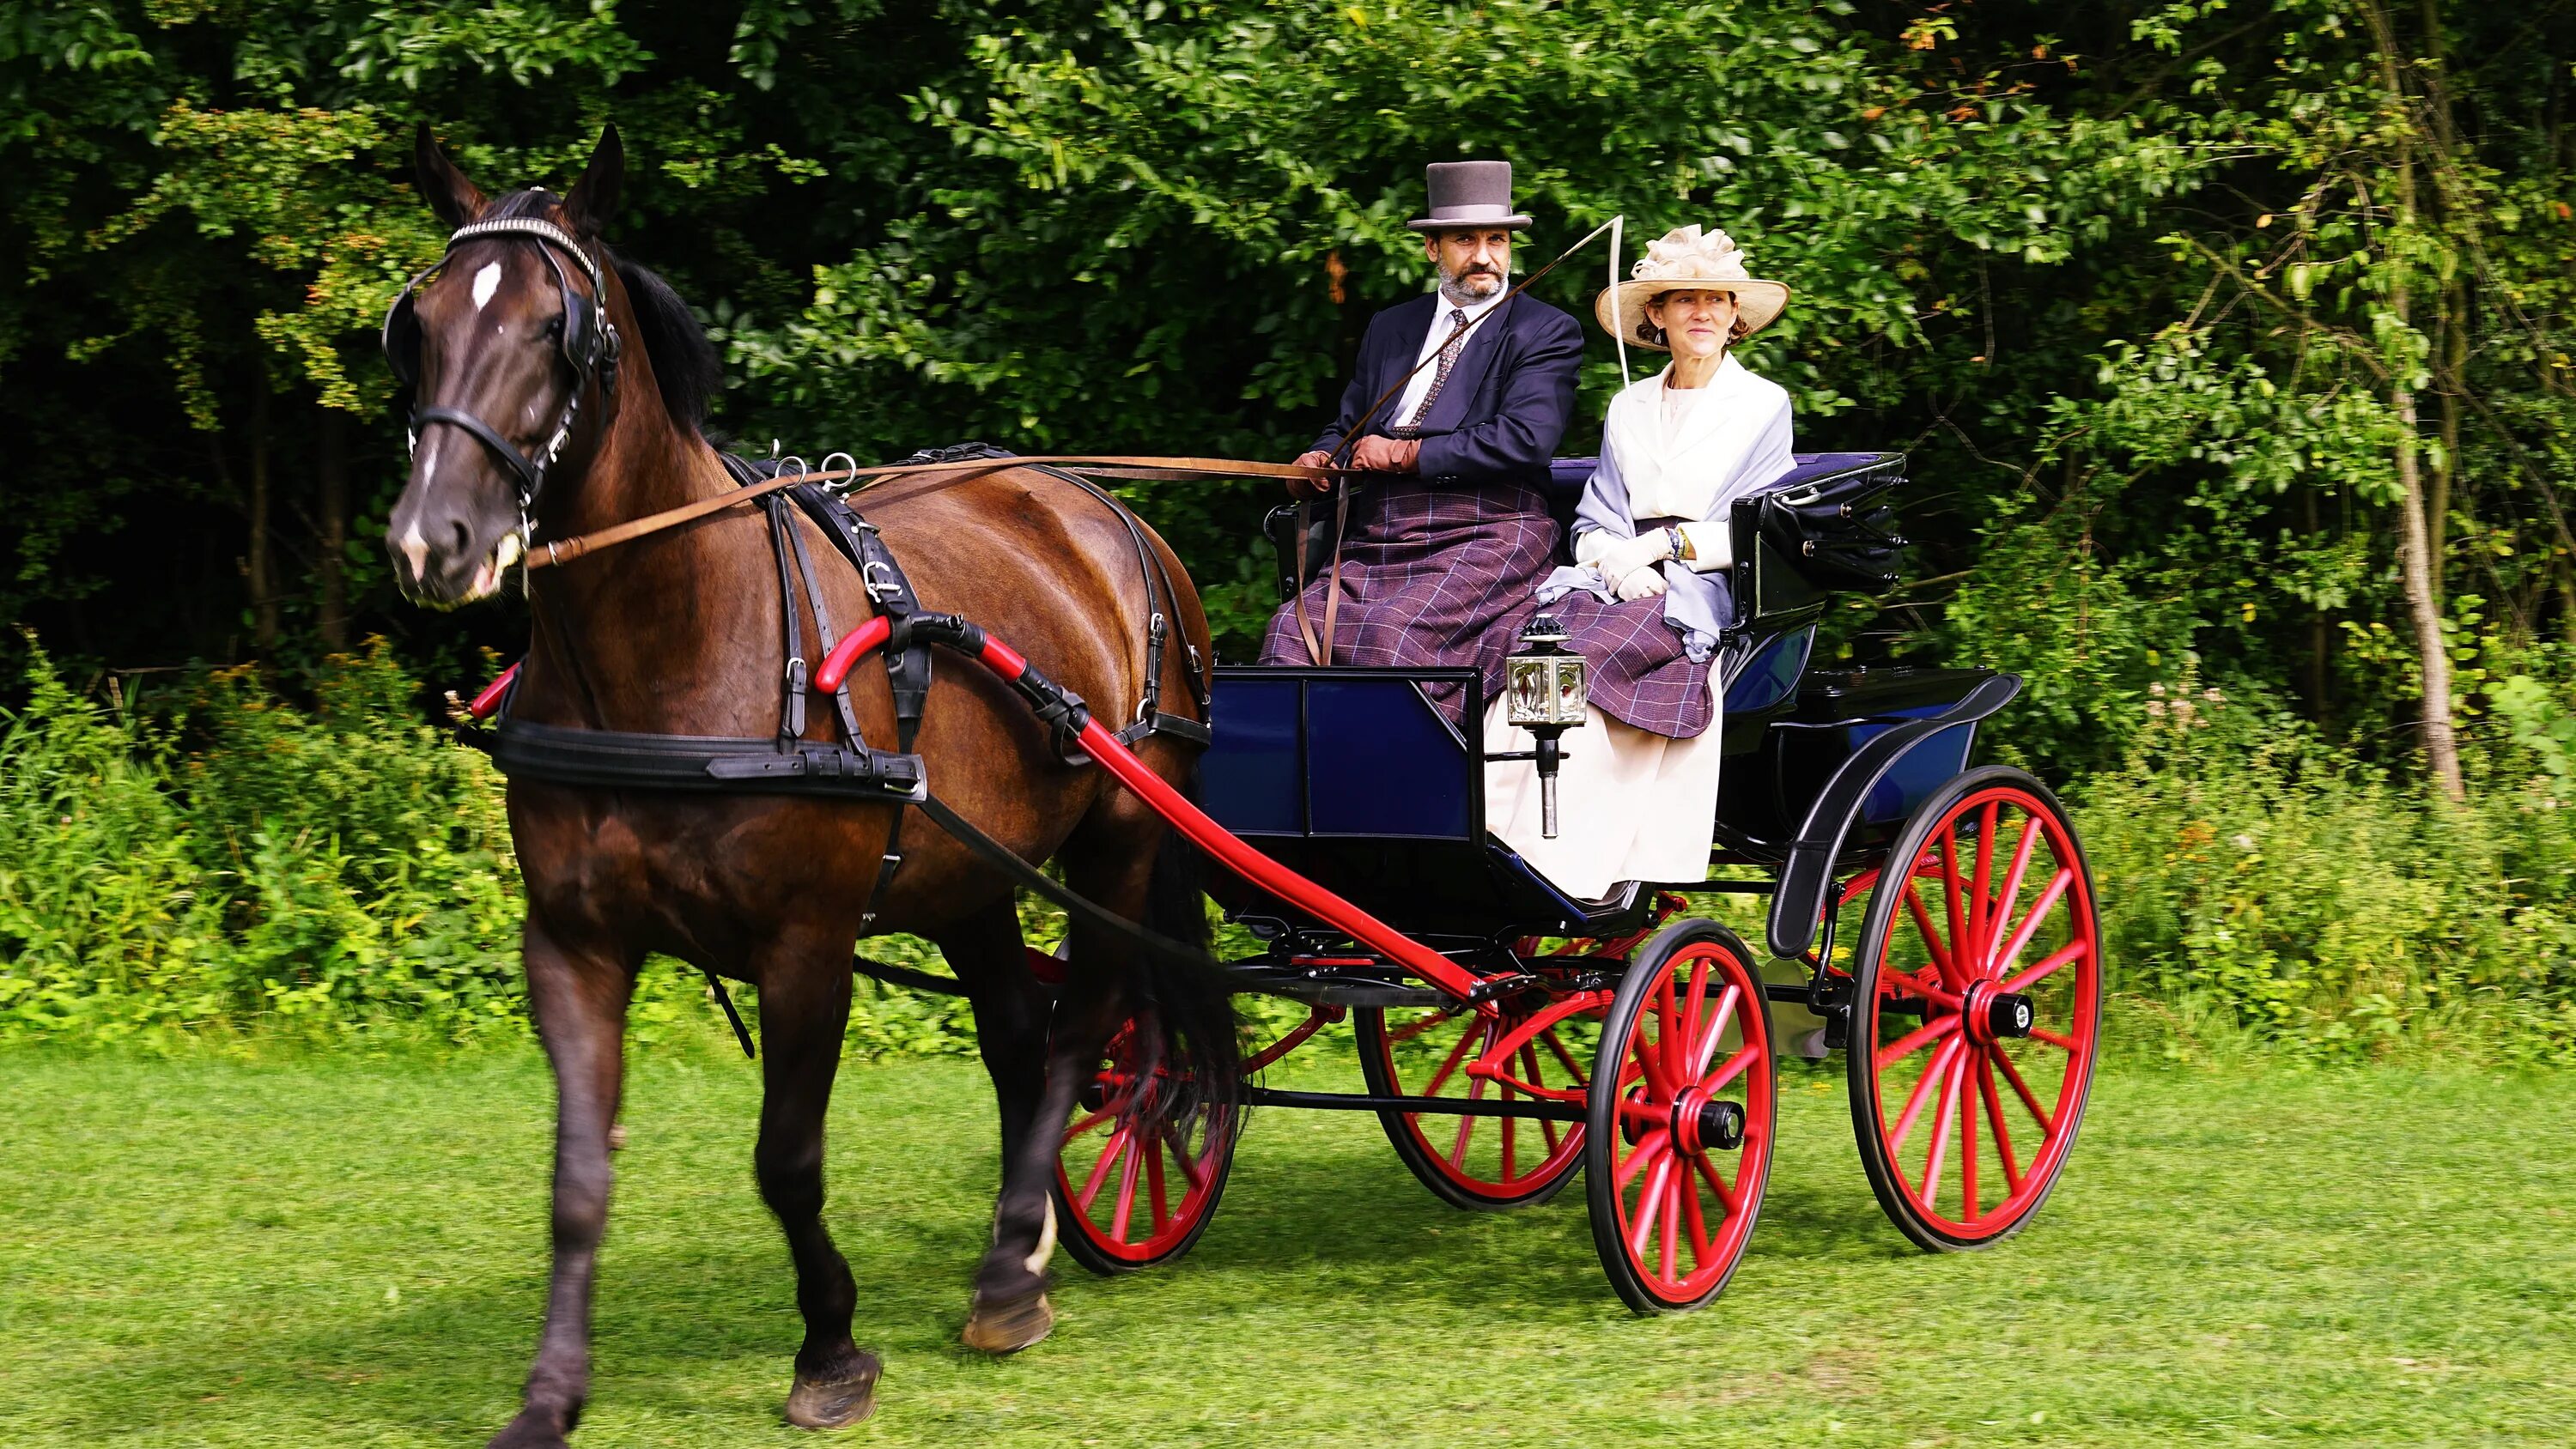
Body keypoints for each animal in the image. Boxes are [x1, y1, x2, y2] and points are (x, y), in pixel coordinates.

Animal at [381, 127, 1236, 1449]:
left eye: (558, 330)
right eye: (415, 324)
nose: (436, 539)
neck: (676, 639)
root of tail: (1102, 511)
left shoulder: (806, 944)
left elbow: (786, 1159)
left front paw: (831, 1349)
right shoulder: (573, 941)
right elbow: (577, 1179)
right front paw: (549, 1395)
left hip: (1122, 837)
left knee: (1085, 1024)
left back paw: (1008, 1275)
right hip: (968, 873)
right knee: (1019, 1038)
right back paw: (1021, 1245)